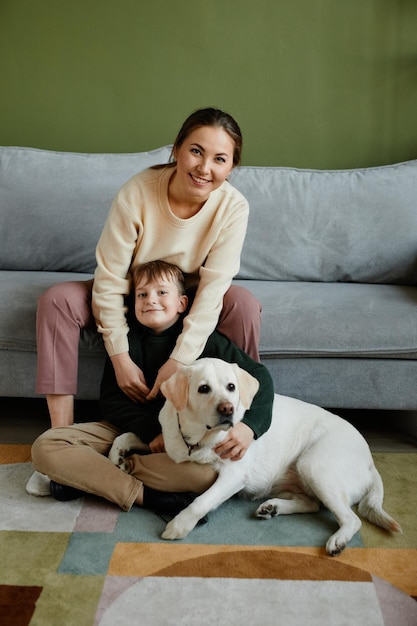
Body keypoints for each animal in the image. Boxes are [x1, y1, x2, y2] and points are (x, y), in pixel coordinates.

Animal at [109, 356, 402, 552]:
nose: (227, 409)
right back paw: (272, 508)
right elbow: (127, 435)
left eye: (231, 387)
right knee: (312, 504)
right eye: (203, 388)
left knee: (351, 518)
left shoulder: (234, 474)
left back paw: (337, 541)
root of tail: (370, 461)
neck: (197, 440)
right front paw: (116, 457)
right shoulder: (169, 442)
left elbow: (201, 501)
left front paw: (179, 525)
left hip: (314, 465)